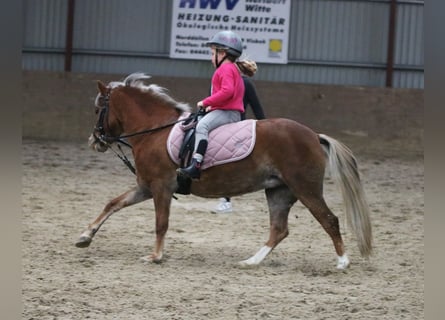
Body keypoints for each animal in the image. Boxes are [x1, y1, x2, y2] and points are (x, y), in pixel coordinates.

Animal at [75, 73, 372, 270]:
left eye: (99, 109)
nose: (94, 141)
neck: (154, 131)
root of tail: (313, 135)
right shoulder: (146, 186)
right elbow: (113, 203)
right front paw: (85, 237)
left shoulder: (161, 187)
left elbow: (161, 223)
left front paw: (155, 256)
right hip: (279, 191)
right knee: (279, 229)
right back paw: (251, 261)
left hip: (305, 188)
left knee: (329, 220)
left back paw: (342, 262)